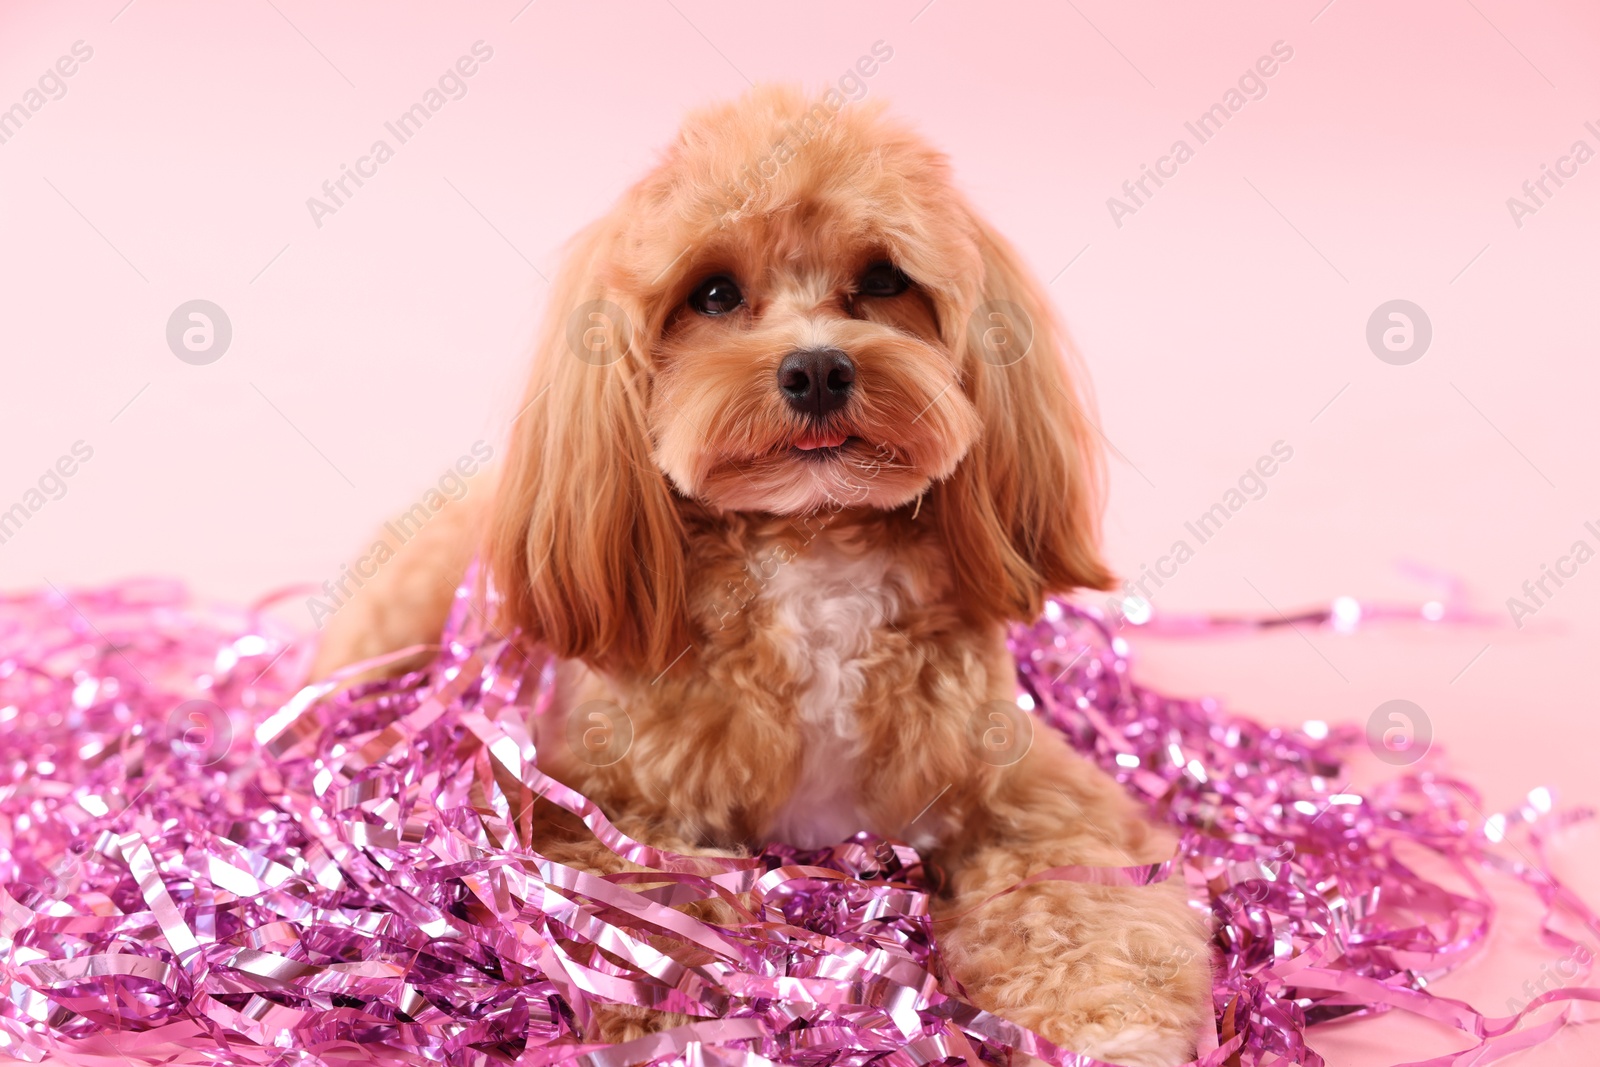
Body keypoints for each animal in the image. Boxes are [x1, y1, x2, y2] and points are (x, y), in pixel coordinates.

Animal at [312, 85, 1209, 1067]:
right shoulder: (592, 804)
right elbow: (645, 911)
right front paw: (674, 1011)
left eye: (884, 278)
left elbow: (1081, 900)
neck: (814, 555)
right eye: (713, 293)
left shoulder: (1027, 789)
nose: (816, 367)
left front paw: (1111, 1021)